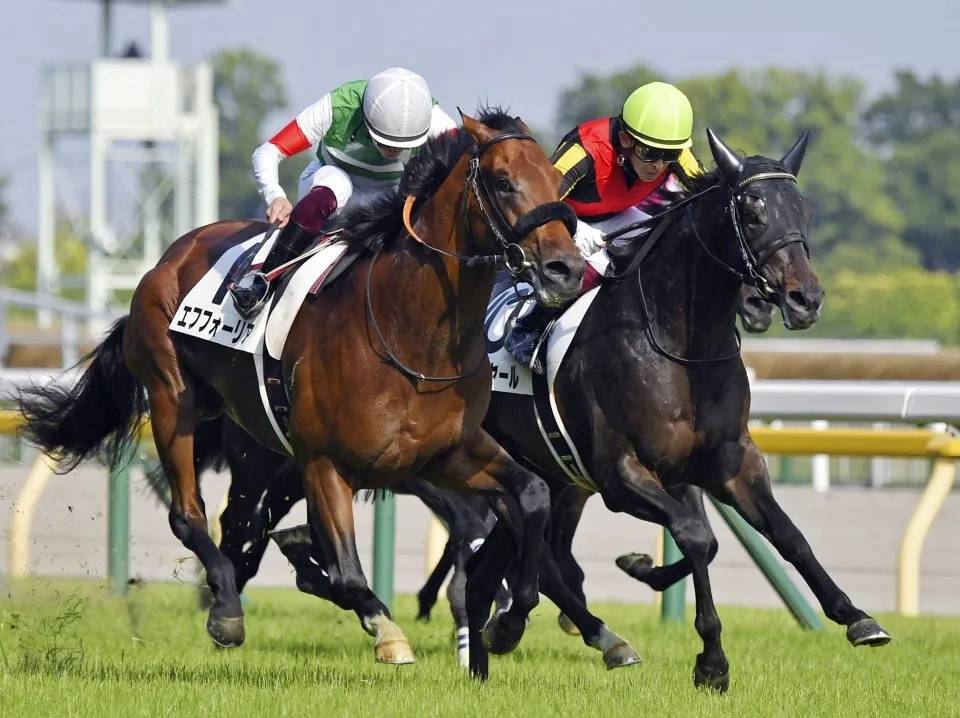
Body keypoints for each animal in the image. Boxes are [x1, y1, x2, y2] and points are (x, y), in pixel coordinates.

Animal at [16, 109, 585, 679]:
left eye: (560, 184)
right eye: (503, 182)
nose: (567, 270)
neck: (410, 333)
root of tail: (170, 256)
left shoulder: (447, 454)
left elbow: (532, 496)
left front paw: (509, 622)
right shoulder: (324, 463)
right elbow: (348, 573)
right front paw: (391, 634)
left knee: (242, 528)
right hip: (173, 399)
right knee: (191, 514)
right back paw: (226, 610)